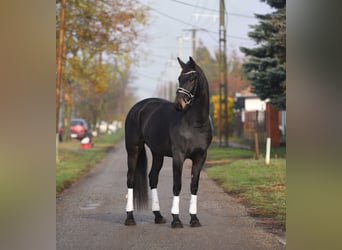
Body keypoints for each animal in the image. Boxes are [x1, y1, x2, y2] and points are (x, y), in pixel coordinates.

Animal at [124, 57, 212, 229]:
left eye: (192, 78)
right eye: (179, 78)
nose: (179, 105)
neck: (195, 123)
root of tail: (138, 107)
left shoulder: (200, 157)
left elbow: (194, 186)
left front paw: (194, 219)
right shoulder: (178, 156)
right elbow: (177, 186)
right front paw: (176, 220)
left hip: (157, 154)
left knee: (153, 178)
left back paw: (158, 216)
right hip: (133, 150)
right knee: (130, 179)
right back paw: (130, 218)